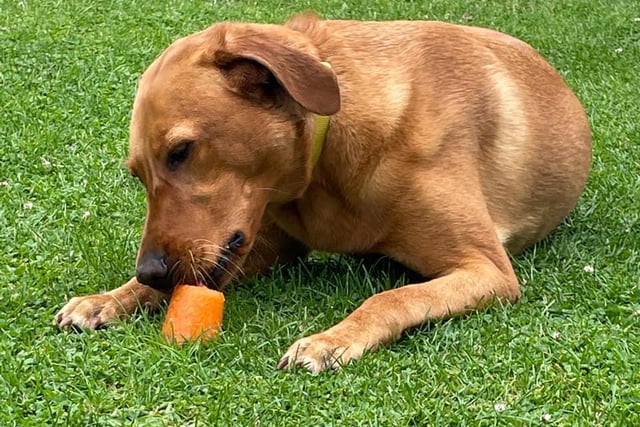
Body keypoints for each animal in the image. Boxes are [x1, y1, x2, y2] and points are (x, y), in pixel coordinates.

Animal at [55, 13, 592, 372]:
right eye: (137, 173)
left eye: (182, 151)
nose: (151, 270)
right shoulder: (265, 245)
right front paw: (109, 297)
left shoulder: (487, 269)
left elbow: (391, 298)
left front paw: (331, 340)